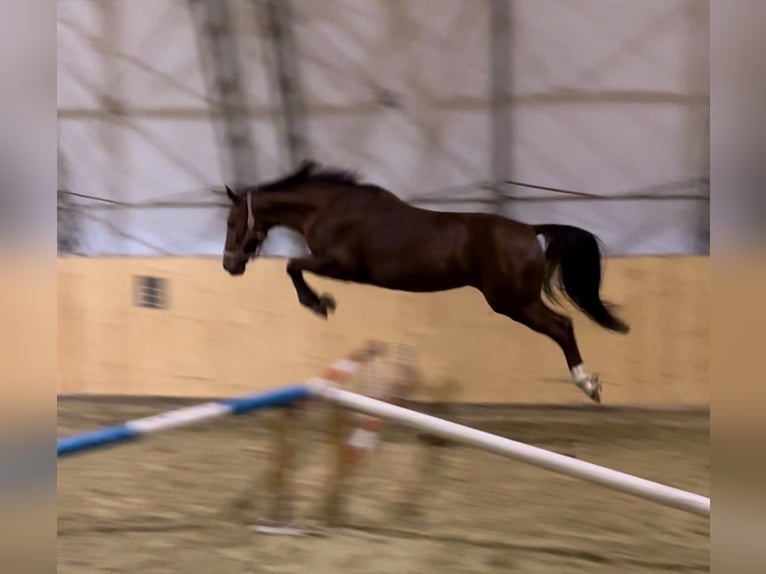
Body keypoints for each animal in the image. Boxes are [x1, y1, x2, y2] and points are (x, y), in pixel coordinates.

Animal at [222, 160, 632, 404]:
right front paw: (321, 303)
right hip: (514, 302)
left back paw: (588, 384)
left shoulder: (342, 266)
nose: (230, 265)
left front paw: (320, 304)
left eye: (230, 221)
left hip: (512, 302)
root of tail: (530, 229)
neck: (329, 208)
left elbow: (292, 266)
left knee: (562, 327)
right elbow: (293, 266)